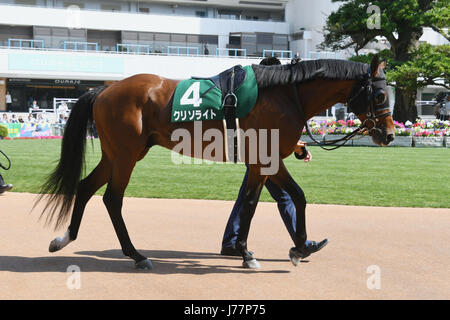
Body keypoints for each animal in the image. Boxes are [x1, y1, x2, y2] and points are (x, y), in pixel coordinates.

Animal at [36, 55, 394, 270]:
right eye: (380, 95)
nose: (389, 135)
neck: (284, 94)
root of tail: (104, 90)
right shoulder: (263, 161)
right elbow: (251, 204)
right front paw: (247, 253)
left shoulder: (269, 161)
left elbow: (296, 197)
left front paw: (301, 247)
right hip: (125, 155)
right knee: (112, 199)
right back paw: (136, 255)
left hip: (119, 153)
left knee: (85, 188)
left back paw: (62, 239)